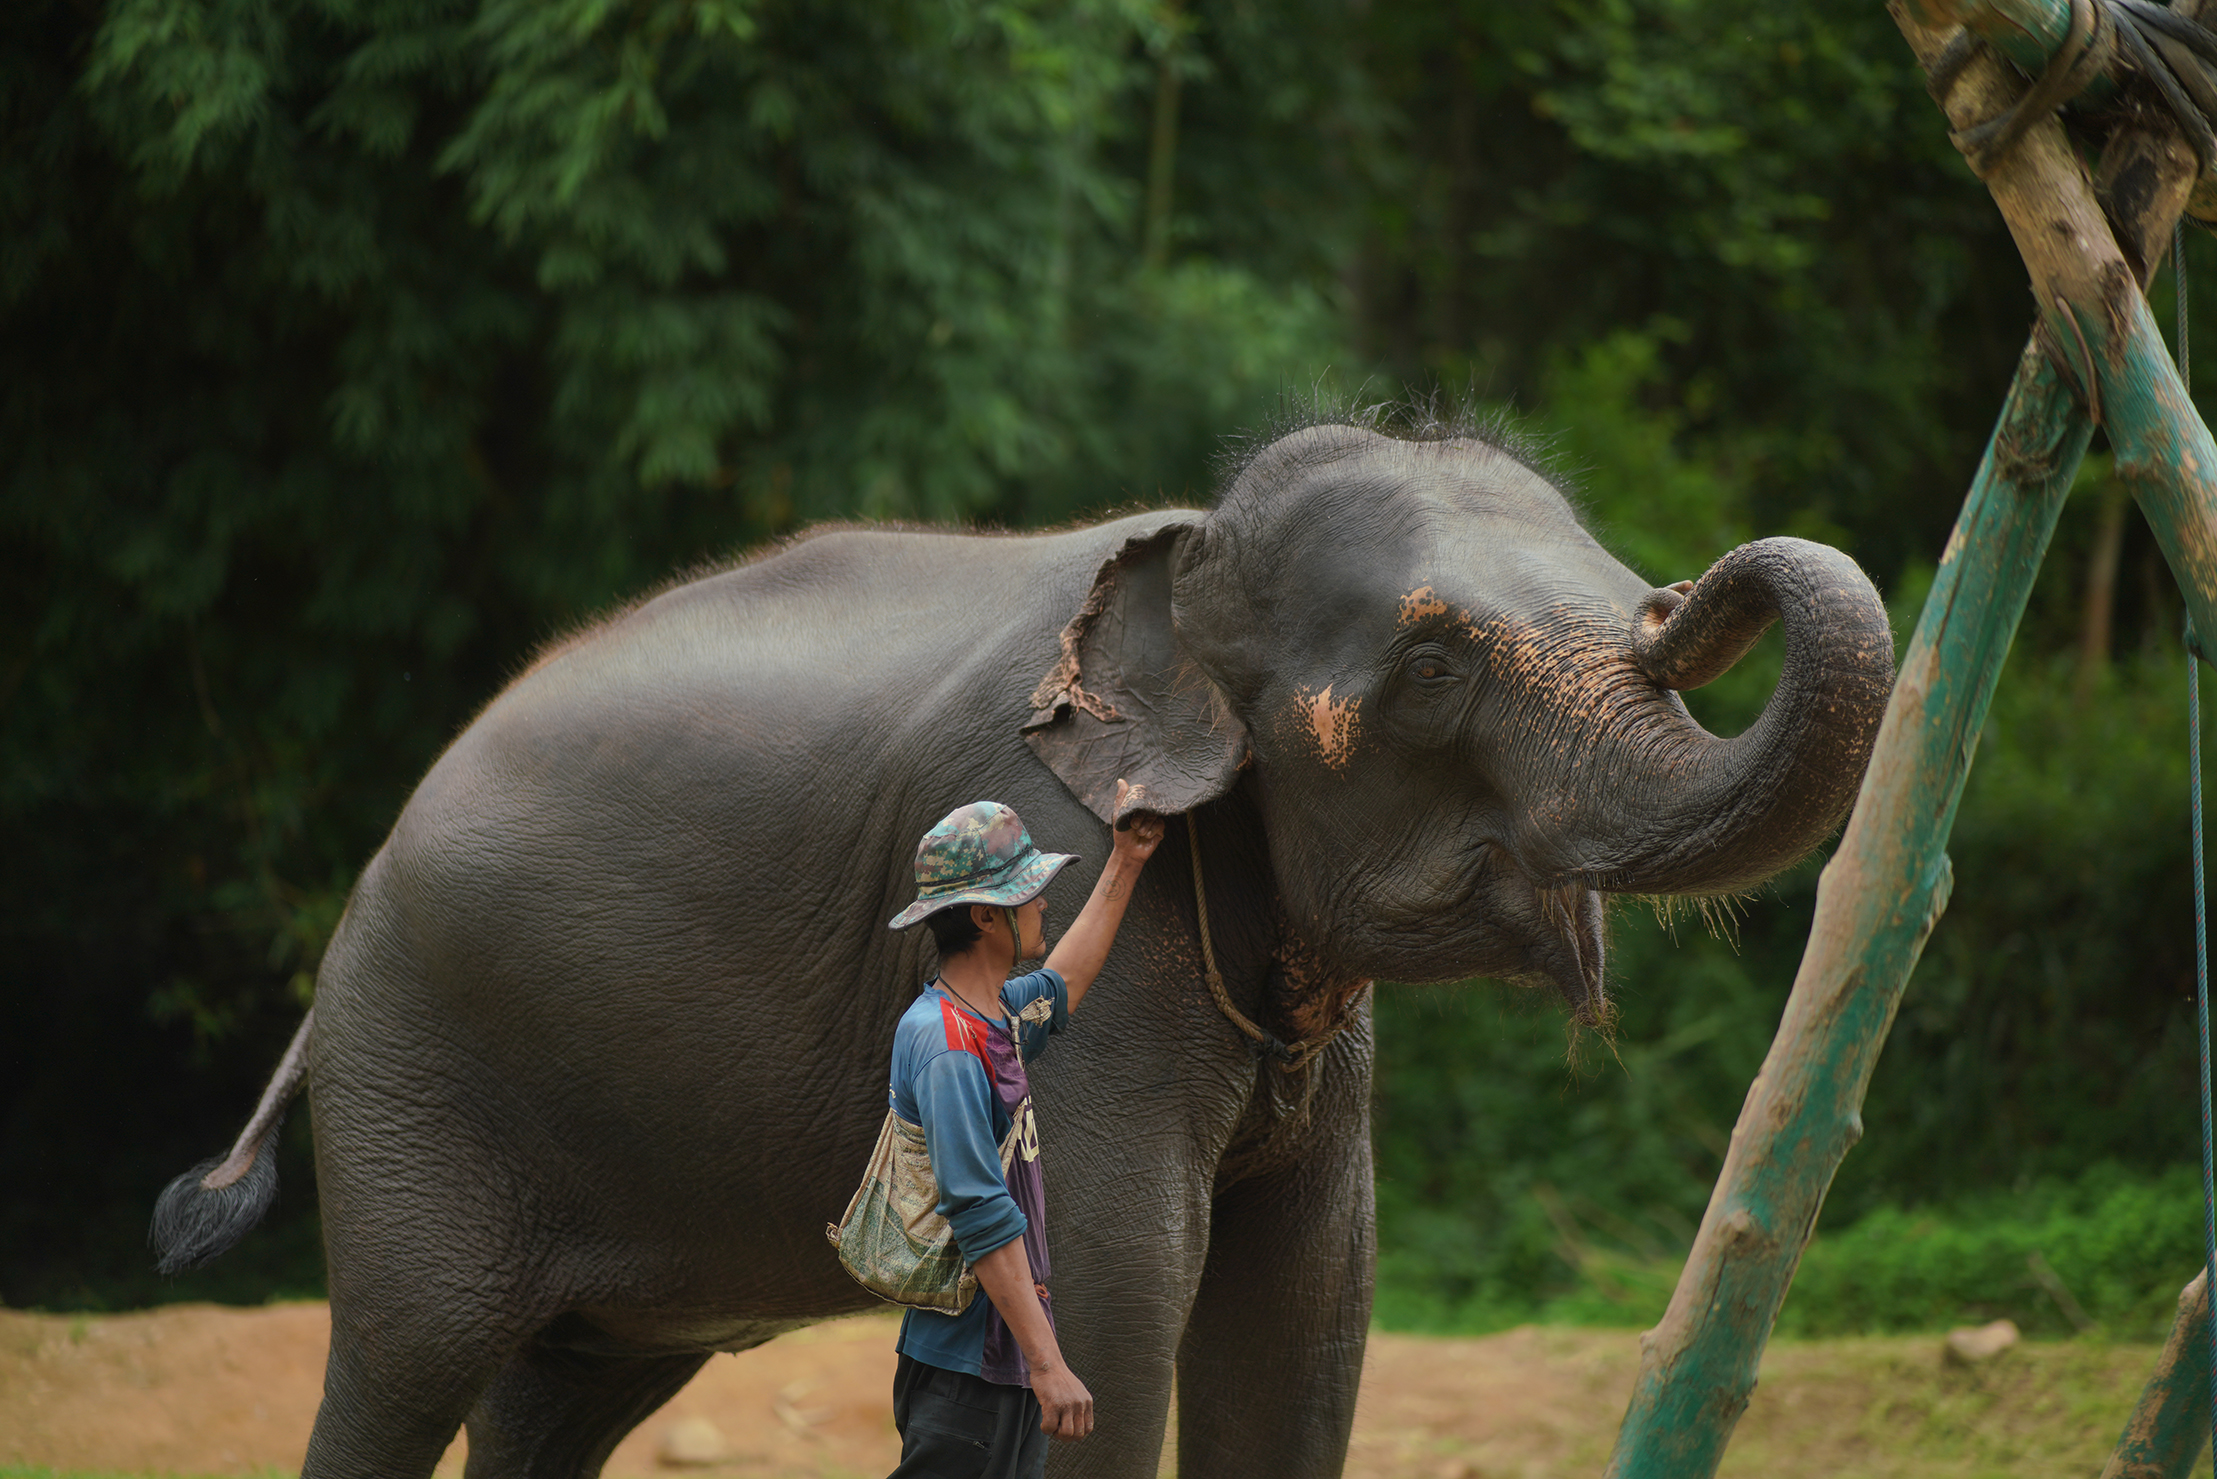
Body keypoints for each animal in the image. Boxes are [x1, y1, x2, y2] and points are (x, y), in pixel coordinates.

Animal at [151, 416, 1888, 1479]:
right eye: (1437, 666)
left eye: (1636, 601)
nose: (1697, 586)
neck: (1190, 558)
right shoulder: (1062, 860)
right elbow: (1114, 1298)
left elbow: (1309, 1307)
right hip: (416, 1074)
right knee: (406, 1355)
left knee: (560, 1387)